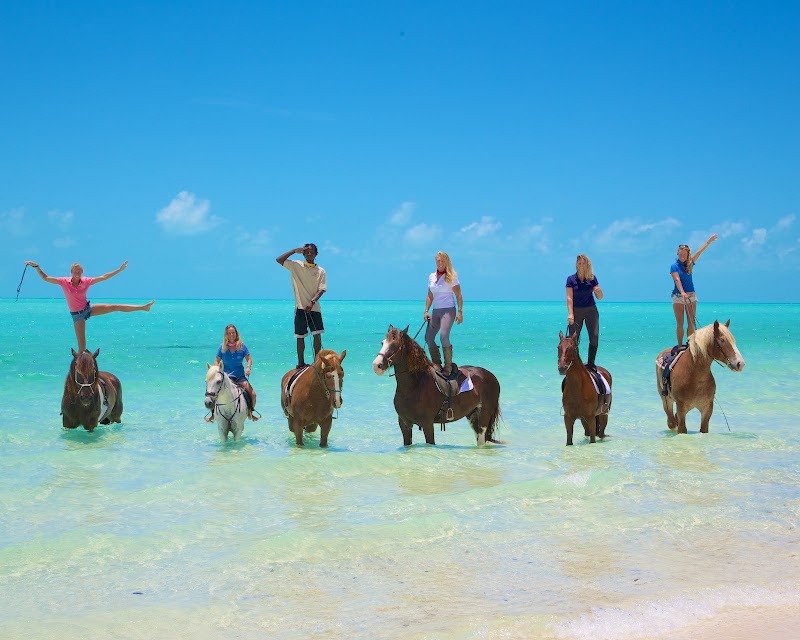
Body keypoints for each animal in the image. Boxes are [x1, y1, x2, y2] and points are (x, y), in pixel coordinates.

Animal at [372, 325, 502, 446]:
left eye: (395, 344)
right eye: (382, 342)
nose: (376, 365)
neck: (416, 385)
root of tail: (491, 376)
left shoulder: (427, 424)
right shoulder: (405, 424)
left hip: (484, 415)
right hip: (472, 415)